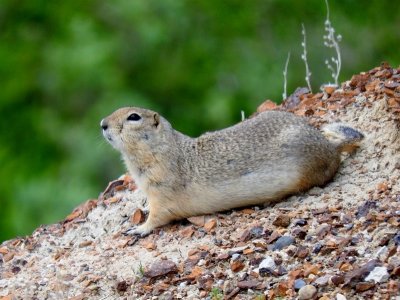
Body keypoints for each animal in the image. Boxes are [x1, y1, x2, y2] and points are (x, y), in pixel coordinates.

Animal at [100, 106, 362, 236]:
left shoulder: (162, 190)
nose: (102, 123)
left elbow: (158, 216)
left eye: (134, 117)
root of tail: (330, 147)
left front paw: (138, 229)